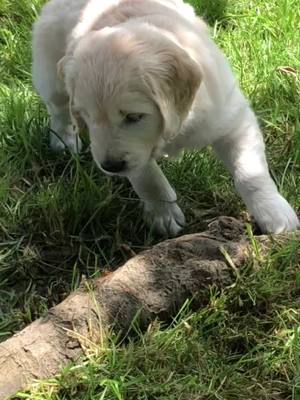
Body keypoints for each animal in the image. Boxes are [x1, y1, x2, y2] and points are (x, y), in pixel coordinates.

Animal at [31, 0, 298, 234]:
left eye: (134, 116)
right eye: (87, 116)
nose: (111, 166)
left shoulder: (233, 121)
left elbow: (250, 173)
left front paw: (274, 212)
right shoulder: (135, 154)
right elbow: (147, 178)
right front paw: (164, 214)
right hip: (51, 72)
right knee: (59, 110)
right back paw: (64, 142)